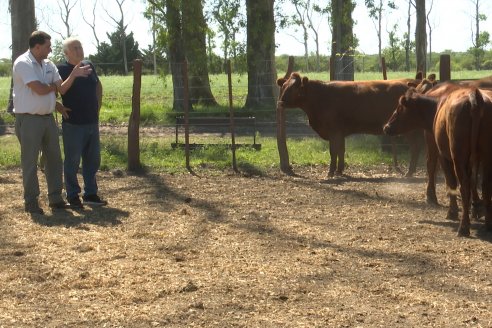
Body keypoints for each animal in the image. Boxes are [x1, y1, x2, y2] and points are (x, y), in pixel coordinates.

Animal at [276, 73, 422, 178]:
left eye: (294, 89)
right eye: (283, 87)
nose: (281, 102)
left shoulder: (334, 130)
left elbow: (333, 151)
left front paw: (330, 172)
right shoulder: (339, 132)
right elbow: (341, 150)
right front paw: (339, 171)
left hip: (409, 130)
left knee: (415, 148)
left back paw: (409, 172)